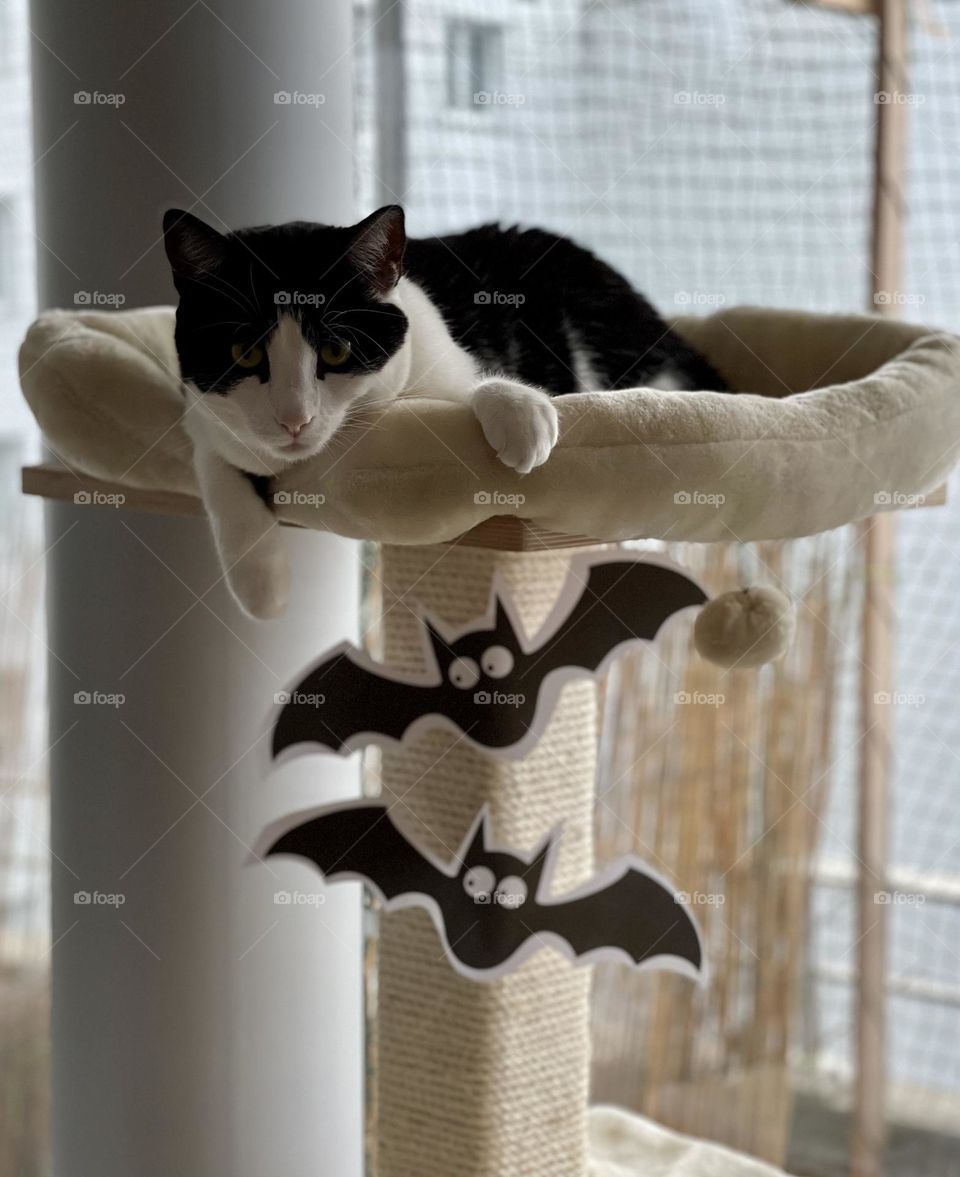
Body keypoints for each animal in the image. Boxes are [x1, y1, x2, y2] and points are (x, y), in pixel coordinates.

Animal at [163, 205, 720, 621]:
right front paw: (262, 585)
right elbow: (217, 468)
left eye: (337, 350)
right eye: (245, 353)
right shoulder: (201, 416)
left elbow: (469, 385)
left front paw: (521, 412)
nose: (294, 419)